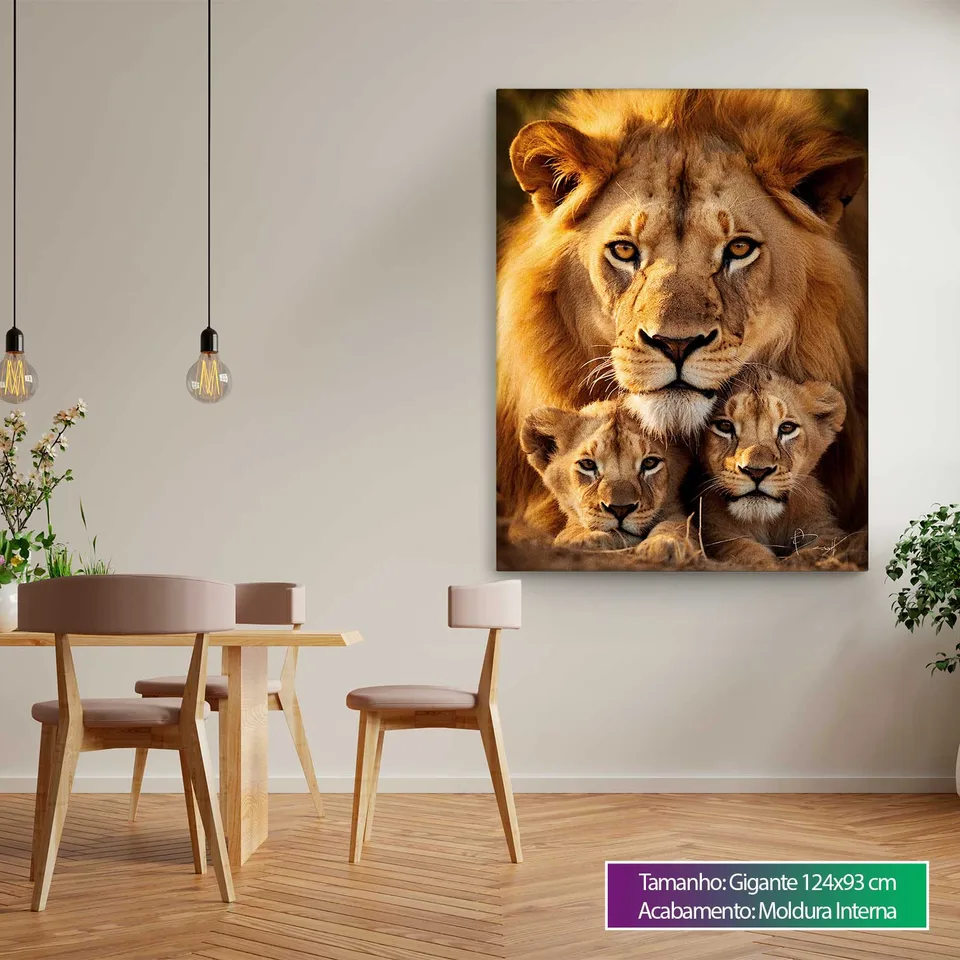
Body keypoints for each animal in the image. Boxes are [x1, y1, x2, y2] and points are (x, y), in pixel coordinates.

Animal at [520, 400, 693, 564]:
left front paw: (666, 543)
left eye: (650, 463)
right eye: (588, 464)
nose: (620, 509)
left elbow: (679, 524)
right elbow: (572, 527)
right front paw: (584, 539)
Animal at [698, 367, 856, 569]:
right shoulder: (716, 532)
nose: (757, 472)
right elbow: (746, 551)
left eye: (787, 428)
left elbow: (815, 552)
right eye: (725, 426)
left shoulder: (825, 529)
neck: (766, 521)